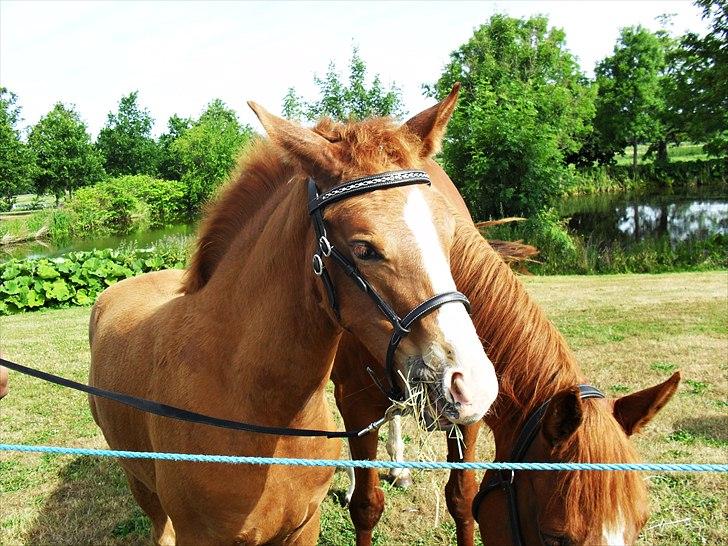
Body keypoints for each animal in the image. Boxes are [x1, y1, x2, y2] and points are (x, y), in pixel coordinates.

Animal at [332, 174, 680, 540]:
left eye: (640, 524)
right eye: (555, 536)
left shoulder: (468, 408)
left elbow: (462, 498)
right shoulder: (355, 405)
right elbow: (367, 507)